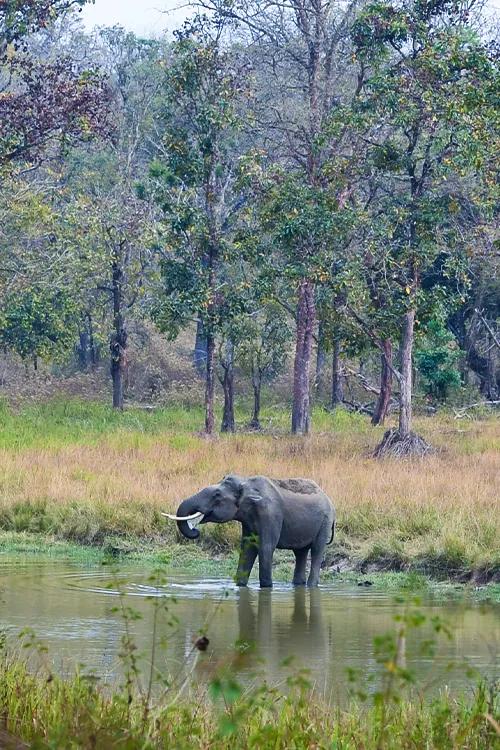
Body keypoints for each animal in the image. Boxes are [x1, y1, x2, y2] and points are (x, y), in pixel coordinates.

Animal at [165, 476, 336, 588]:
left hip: (325, 522)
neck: (245, 483)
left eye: (217, 495)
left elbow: (266, 548)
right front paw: (240, 586)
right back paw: (298, 585)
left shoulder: (270, 514)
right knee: (300, 552)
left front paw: (266, 588)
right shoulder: (247, 521)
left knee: (317, 550)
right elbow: (247, 549)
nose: (195, 531)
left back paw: (311, 586)